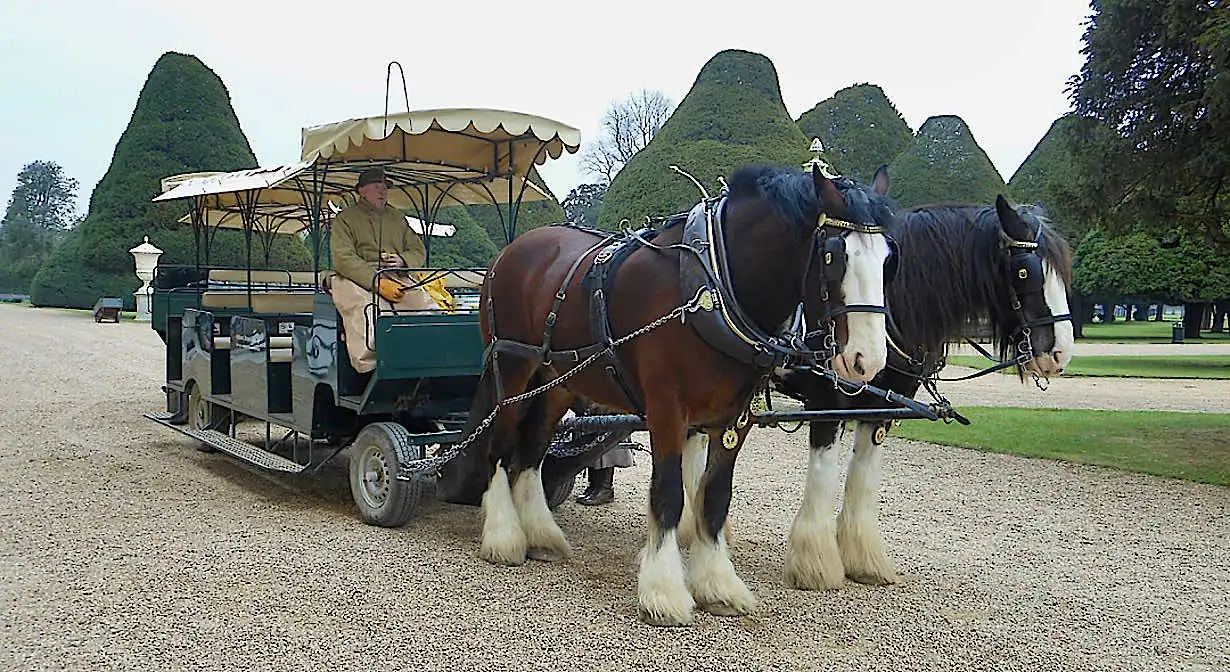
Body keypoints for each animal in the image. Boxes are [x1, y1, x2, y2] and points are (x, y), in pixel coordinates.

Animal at [440, 162, 895, 622]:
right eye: (835, 256)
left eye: (889, 259)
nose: (868, 360)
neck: (713, 286)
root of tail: (510, 251)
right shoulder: (667, 409)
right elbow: (670, 494)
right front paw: (663, 592)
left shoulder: (736, 418)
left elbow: (714, 497)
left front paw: (718, 585)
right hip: (511, 369)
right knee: (500, 447)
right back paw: (504, 537)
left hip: (559, 379)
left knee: (531, 452)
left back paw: (540, 535)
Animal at [757, 192, 1077, 585]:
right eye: (1024, 271)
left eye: (1064, 269)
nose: (1060, 353)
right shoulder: (827, 402)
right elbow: (823, 475)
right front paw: (814, 563)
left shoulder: (883, 409)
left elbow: (863, 477)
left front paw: (863, 558)